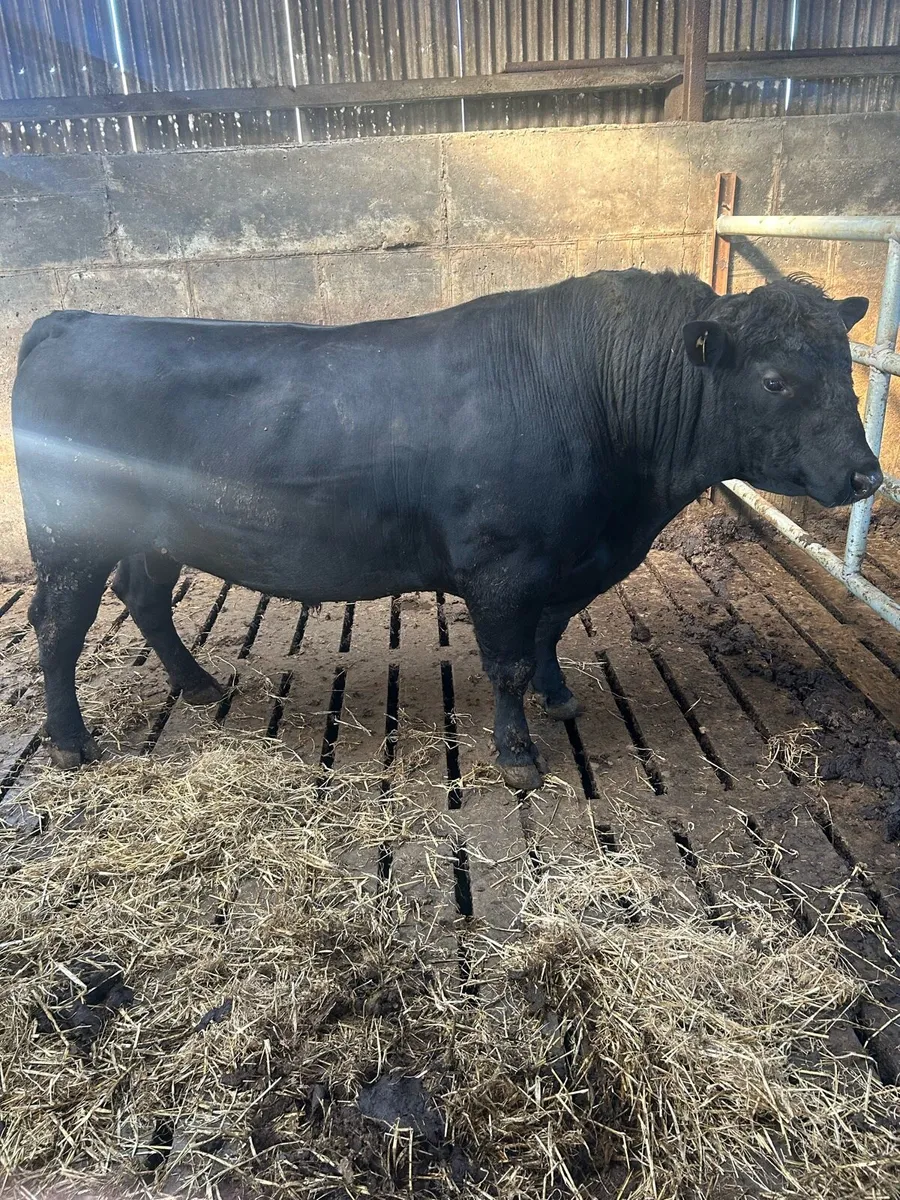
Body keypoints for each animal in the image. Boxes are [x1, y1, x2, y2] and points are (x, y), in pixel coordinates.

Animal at [12, 269, 880, 790]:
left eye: (847, 368)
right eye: (775, 380)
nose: (868, 476)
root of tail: (68, 320)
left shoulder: (562, 562)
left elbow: (548, 636)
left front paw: (559, 698)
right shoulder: (504, 564)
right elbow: (506, 663)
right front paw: (519, 755)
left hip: (152, 532)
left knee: (144, 597)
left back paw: (196, 683)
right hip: (69, 535)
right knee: (58, 623)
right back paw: (70, 740)